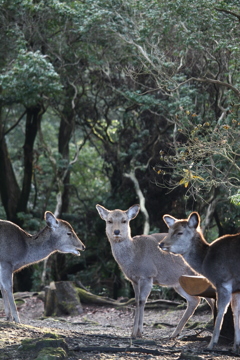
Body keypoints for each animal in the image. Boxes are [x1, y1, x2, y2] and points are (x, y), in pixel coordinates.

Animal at [96, 204, 214, 338]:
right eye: (109, 221)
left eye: (124, 220)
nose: (116, 232)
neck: (133, 256)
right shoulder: (134, 280)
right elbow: (136, 301)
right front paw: (133, 333)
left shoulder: (148, 275)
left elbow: (142, 300)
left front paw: (139, 332)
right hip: (179, 283)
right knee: (195, 300)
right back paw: (175, 333)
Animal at [159, 211, 240, 352]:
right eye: (169, 230)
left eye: (179, 232)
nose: (161, 244)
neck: (205, 262)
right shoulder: (236, 289)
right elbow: (236, 311)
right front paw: (236, 346)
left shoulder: (223, 282)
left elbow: (221, 310)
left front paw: (211, 344)